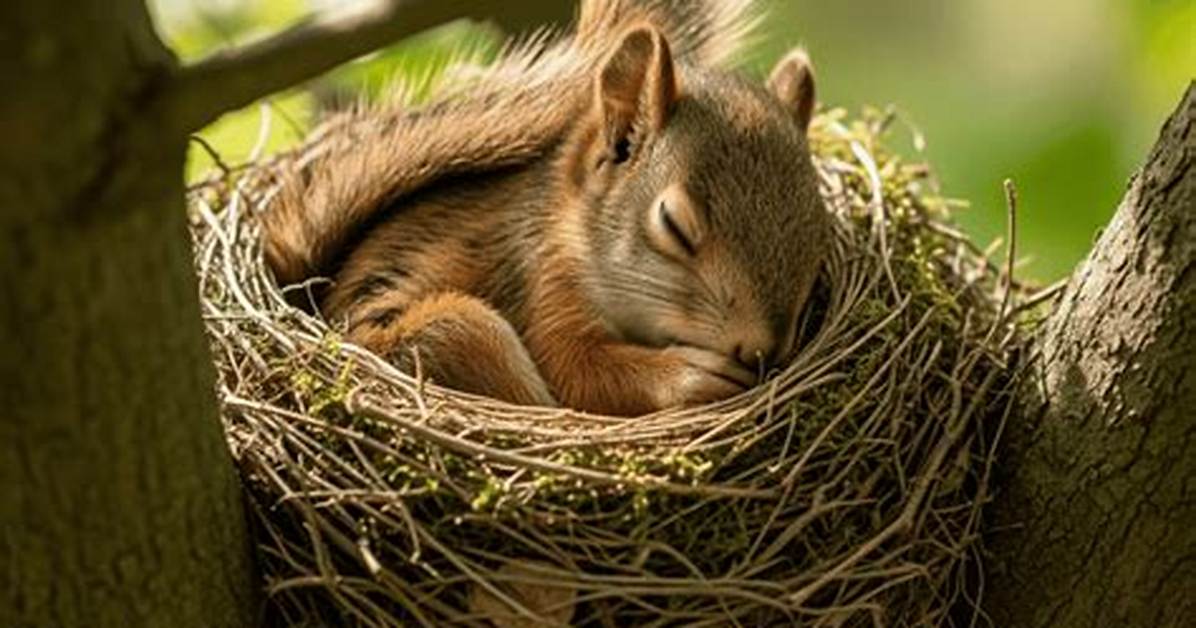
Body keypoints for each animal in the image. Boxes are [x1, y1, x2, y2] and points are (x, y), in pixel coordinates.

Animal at [262, 0, 831, 416]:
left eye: (817, 231)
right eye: (674, 225)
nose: (759, 350)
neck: (573, 233)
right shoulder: (542, 284)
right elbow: (577, 373)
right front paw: (692, 376)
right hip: (459, 333)